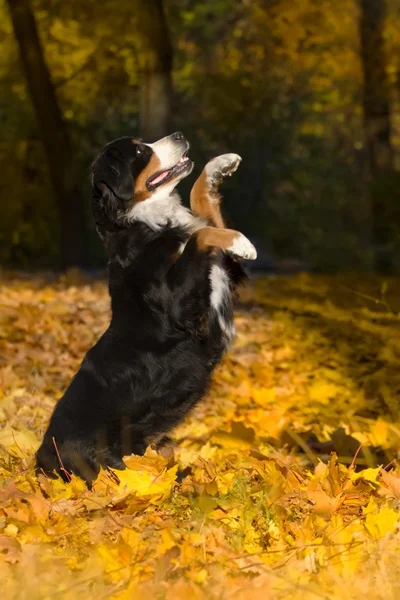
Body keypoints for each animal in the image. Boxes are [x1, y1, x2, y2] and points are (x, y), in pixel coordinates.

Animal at [36, 132, 258, 488]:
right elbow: (199, 234)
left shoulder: (227, 272)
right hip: (106, 462)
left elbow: (201, 209)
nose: (180, 135)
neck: (144, 222)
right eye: (141, 150)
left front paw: (219, 165)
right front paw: (242, 241)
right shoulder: (180, 304)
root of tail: (40, 463)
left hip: (161, 445)